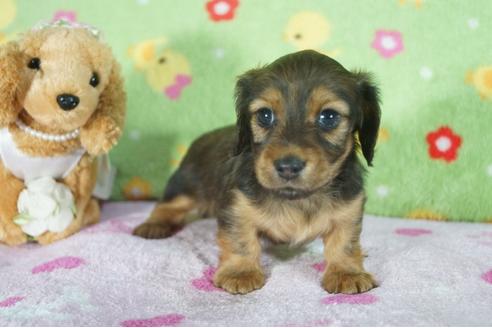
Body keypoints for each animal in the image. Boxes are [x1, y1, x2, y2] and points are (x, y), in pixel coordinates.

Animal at [134, 49, 380, 294]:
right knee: (166, 206)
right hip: (184, 187)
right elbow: (241, 240)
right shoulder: (236, 207)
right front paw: (240, 272)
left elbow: (344, 242)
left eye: (329, 117)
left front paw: (347, 272)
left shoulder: (349, 209)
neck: (297, 199)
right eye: (265, 115)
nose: (288, 166)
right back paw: (154, 225)